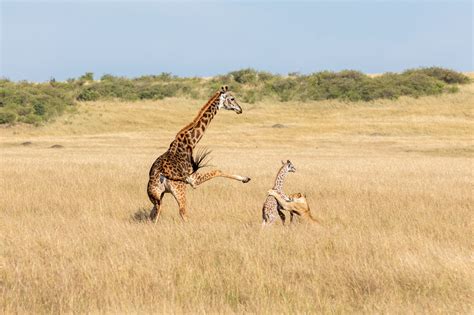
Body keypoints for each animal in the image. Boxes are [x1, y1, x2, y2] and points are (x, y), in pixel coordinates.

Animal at [148, 86, 252, 222]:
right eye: (232, 98)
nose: (240, 109)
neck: (190, 142)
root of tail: (160, 175)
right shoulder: (193, 179)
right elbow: (217, 170)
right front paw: (245, 178)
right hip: (179, 189)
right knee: (182, 211)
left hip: (156, 195)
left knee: (154, 213)